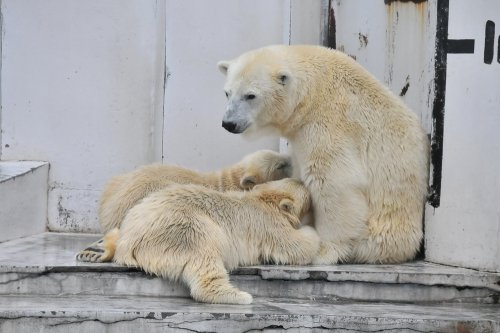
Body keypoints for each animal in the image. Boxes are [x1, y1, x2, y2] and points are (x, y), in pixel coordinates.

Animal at [219, 44, 430, 264]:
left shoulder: (328, 123)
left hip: (379, 236)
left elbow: (333, 181)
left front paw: (323, 251)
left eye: (250, 95)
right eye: (227, 93)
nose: (228, 123)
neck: (314, 90)